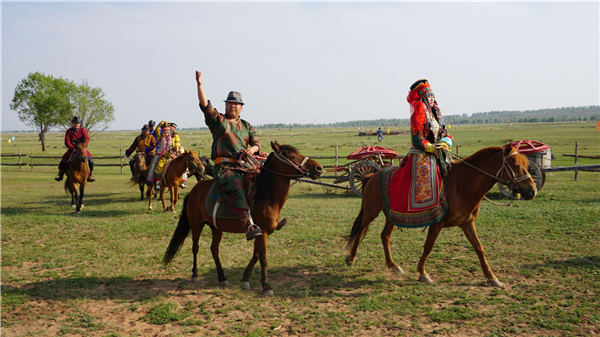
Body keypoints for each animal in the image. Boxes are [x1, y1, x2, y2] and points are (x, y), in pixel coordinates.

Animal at [163, 141, 324, 294]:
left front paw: (245, 279)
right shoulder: (262, 232)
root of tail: (194, 191)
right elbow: (263, 258)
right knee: (195, 247)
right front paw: (266, 286)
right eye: (292, 156)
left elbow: (256, 255)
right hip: (196, 225)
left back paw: (222, 278)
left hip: (216, 228)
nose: (318, 168)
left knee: (214, 249)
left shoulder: (261, 232)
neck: (266, 195)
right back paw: (195, 274)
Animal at [344, 143, 536, 288]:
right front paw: (423, 274)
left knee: (384, 236)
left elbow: (479, 248)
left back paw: (393, 266)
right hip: (371, 211)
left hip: (391, 216)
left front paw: (492, 278)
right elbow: (428, 247)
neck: (462, 185)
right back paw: (350, 258)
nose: (532, 191)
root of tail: (371, 175)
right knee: (360, 232)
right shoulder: (436, 224)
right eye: (515, 165)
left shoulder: (467, 223)